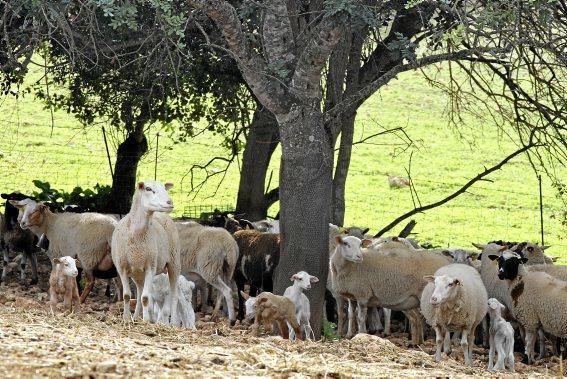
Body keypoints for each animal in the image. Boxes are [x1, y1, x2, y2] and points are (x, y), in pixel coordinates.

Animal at [111, 181, 180, 324]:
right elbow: (127, 295)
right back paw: (136, 316)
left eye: (165, 188)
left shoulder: (151, 267)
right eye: (148, 189)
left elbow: (146, 298)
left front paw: (146, 320)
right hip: (137, 273)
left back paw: (173, 324)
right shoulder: (122, 268)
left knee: (174, 295)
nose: (169, 202)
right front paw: (126, 319)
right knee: (139, 291)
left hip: (174, 262)